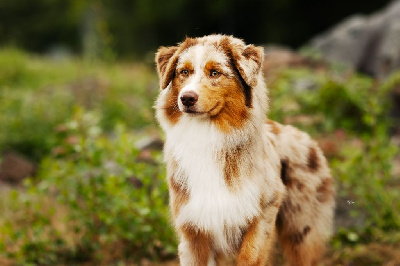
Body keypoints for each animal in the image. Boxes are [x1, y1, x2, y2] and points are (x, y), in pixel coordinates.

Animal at [155, 35, 336, 266]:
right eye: (184, 72)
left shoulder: (263, 212)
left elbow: (250, 256)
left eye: (215, 72)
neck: (208, 135)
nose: (186, 98)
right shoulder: (193, 227)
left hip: (302, 231)